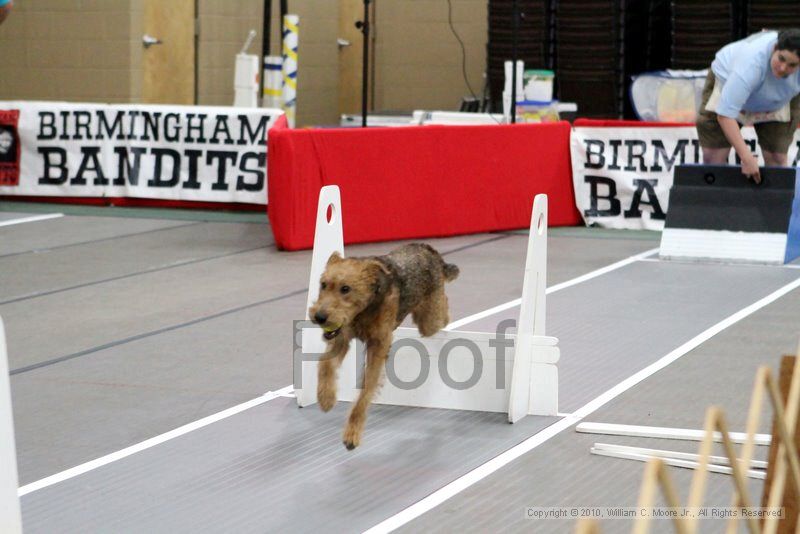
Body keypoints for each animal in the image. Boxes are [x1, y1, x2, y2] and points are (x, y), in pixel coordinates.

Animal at [308, 245, 456, 450]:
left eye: (345, 288)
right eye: (323, 284)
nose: (320, 317)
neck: (364, 309)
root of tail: (429, 249)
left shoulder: (378, 345)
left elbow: (365, 393)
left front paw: (352, 434)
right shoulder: (342, 337)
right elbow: (325, 364)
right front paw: (326, 398)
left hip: (429, 319)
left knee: (444, 311)